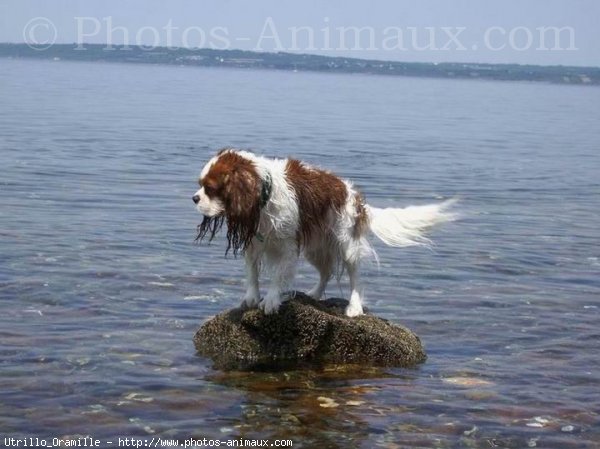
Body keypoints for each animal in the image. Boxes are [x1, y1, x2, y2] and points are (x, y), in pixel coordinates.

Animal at [192, 147, 454, 316]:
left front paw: (272, 300)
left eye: (210, 189)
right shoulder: (254, 242)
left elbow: (278, 276)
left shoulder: (287, 246)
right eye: (200, 186)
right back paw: (315, 294)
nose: (194, 198)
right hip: (316, 247)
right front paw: (251, 298)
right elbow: (252, 273)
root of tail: (357, 199)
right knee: (326, 272)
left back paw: (354, 307)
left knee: (355, 278)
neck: (263, 196)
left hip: (346, 243)